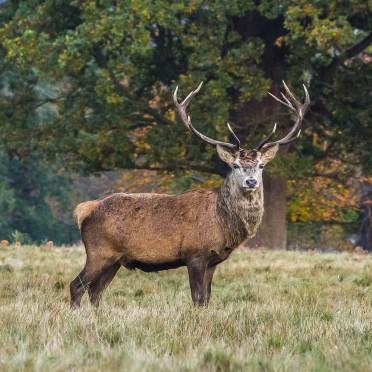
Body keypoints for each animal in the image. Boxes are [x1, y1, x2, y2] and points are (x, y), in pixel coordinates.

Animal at [70, 81, 308, 308]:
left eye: (260, 166)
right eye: (236, 165)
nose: (251, 182)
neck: (222, 223)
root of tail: (84, 210)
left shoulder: (213, 261)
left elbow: (207, 299)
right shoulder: (194, 255)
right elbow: (197, 297)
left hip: (116, 260)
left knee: (95, 292)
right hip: (99, 252)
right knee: (77, 285)